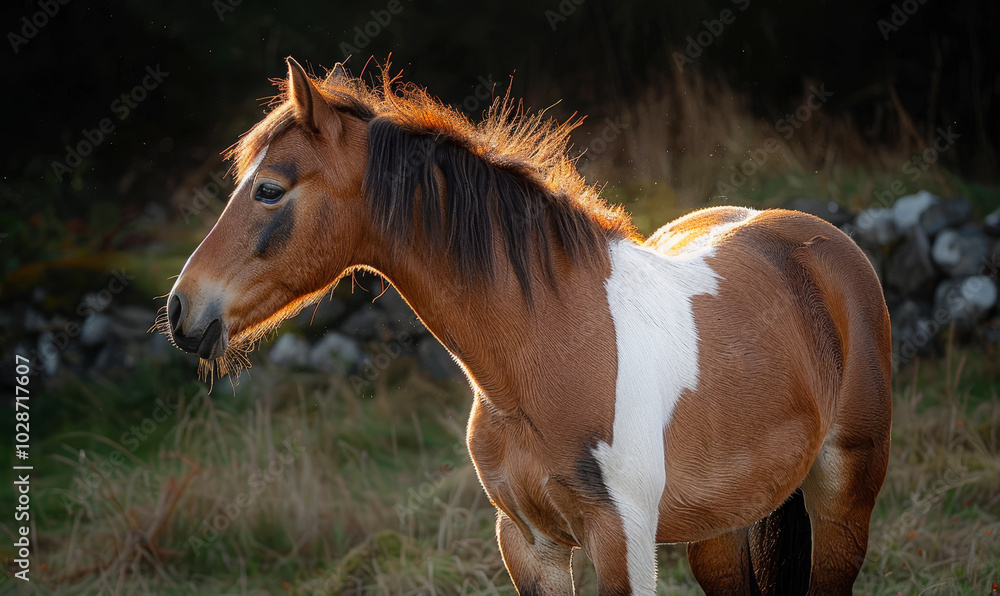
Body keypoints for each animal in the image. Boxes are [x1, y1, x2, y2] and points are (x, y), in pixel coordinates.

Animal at [160, 57, 892, 595]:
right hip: (723, 528)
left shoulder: (623, 542)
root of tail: (817, 239)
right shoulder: (528, 544)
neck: (543, 353)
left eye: (270, 190)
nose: (181, 311)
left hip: (844, 497)